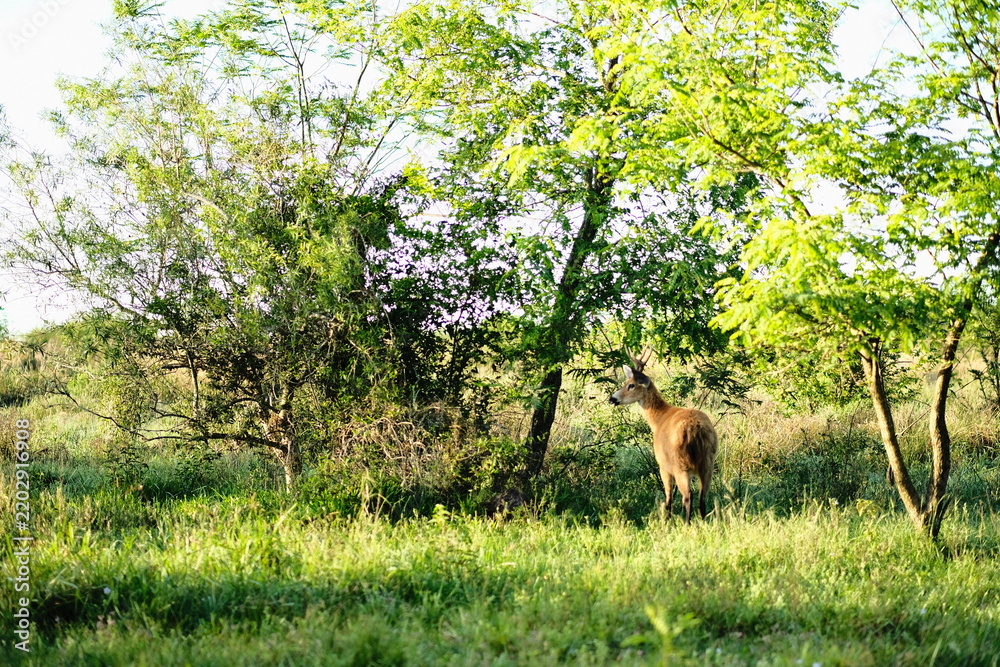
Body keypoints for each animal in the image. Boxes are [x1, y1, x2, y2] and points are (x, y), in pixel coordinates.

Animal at [608, 347, 718, 523]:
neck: (659, 419)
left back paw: (687, 524)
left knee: (688, 496)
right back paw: (703, 523)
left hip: (680, 463)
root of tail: (696, 429)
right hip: (708, 460)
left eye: (631, 385)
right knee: (703, 498)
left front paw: (667, 520)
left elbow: (668, 498)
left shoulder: (662, 464)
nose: (612, 399)